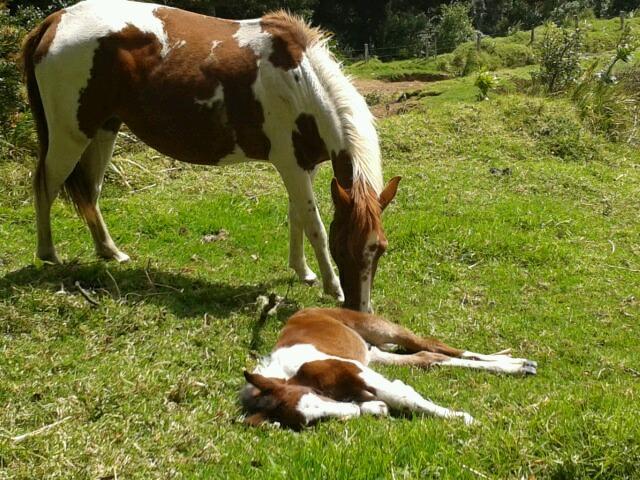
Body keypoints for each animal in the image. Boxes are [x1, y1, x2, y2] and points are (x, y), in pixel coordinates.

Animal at [22, 0, 400, 312]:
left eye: (380, 248)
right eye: (342, 249)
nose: (360, 310)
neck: (301, 82)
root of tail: (55, 21)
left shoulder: (305, 165)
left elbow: (297, 218)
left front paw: (303, 272)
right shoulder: (290, 164)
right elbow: (314, 225)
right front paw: (332, 286)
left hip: (104, 130)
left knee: (90, 192)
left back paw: (110, 252)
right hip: (71, 135)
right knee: (45, 186)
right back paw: (49, 255)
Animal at [242, 310, 536, 430]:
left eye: (316, 395)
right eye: (311, 421)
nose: (347, 411)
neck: (294, 373)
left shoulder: (360, 372)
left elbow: (401, 397)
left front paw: (463, 418)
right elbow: (383, 401)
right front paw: (374, 409)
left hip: (383, 329)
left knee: (434, 345)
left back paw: (517, 363)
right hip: (376, 355)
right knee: (428, 357)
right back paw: (516, 365)